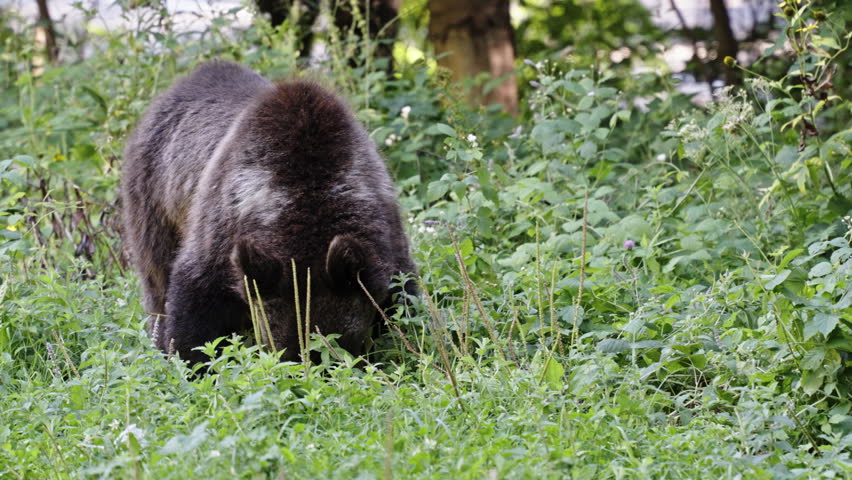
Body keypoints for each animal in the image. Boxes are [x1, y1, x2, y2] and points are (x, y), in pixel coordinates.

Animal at [121, 61, 417, 365]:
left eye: (342, 344)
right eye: (283, 349)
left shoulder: (385, 234)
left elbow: (403, 300)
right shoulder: (222, 231)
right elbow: (193, 301)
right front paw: (190, 360)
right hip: (154, 199)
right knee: (156, 279)